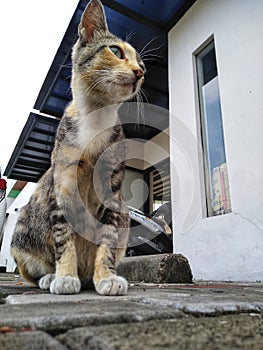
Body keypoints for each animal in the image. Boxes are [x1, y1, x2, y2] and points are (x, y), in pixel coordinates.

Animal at [11, 0, 145, 296]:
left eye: (141, 63)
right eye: (115, 51)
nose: (140, 72)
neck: (96, 119)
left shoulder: (113, 194)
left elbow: (107, 239)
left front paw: (106, 276)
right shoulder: (61, 187)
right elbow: (64, 237)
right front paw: (64, 276)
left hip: (125, 213)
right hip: (23, 229)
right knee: (32, 269)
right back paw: (49, 276)